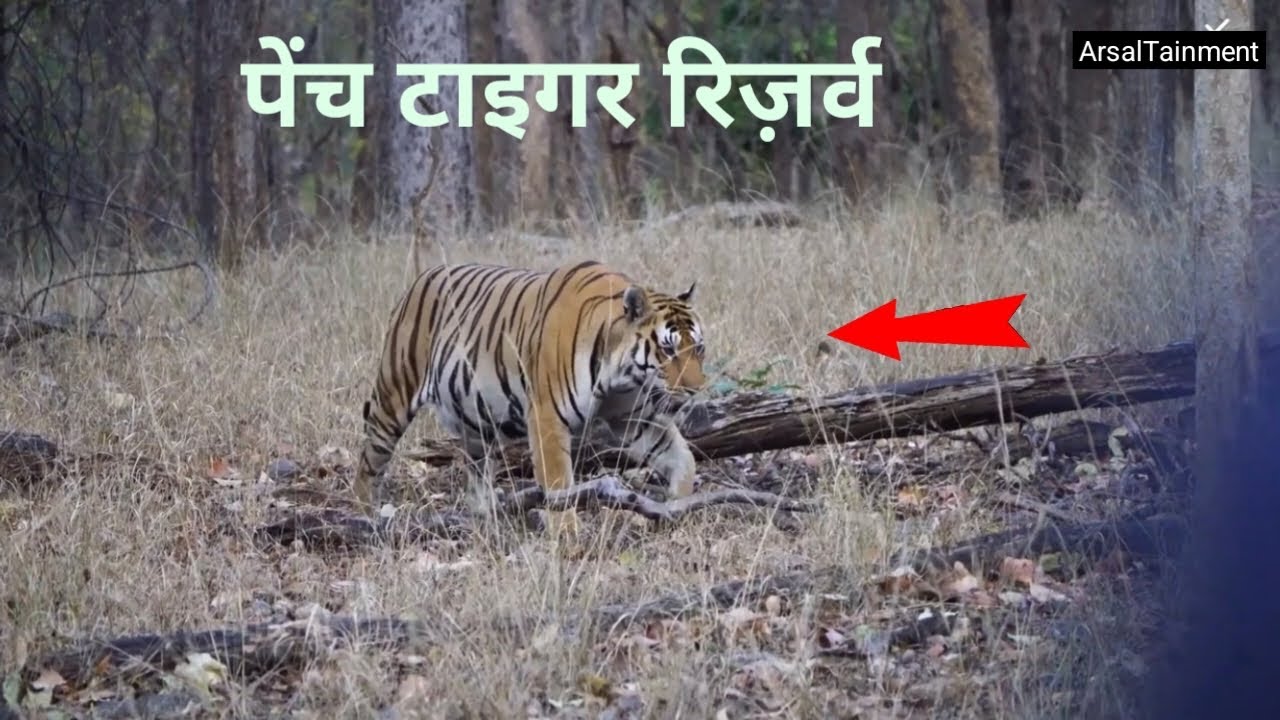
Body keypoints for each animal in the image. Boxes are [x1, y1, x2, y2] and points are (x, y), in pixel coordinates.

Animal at [352, 259, 708, 538]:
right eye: (668, 349)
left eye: (699, 348)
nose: (697, 389)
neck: (620, 376)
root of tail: (420, 277)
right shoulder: (548, 417)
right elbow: (559, 485)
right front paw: (567, 536)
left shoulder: (634, 415)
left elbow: (683, 457)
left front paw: (676, 505)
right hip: (393, 397)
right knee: (369, 461)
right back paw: (364, 516)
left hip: (476, 422)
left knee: (476, 472)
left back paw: (490, 516)